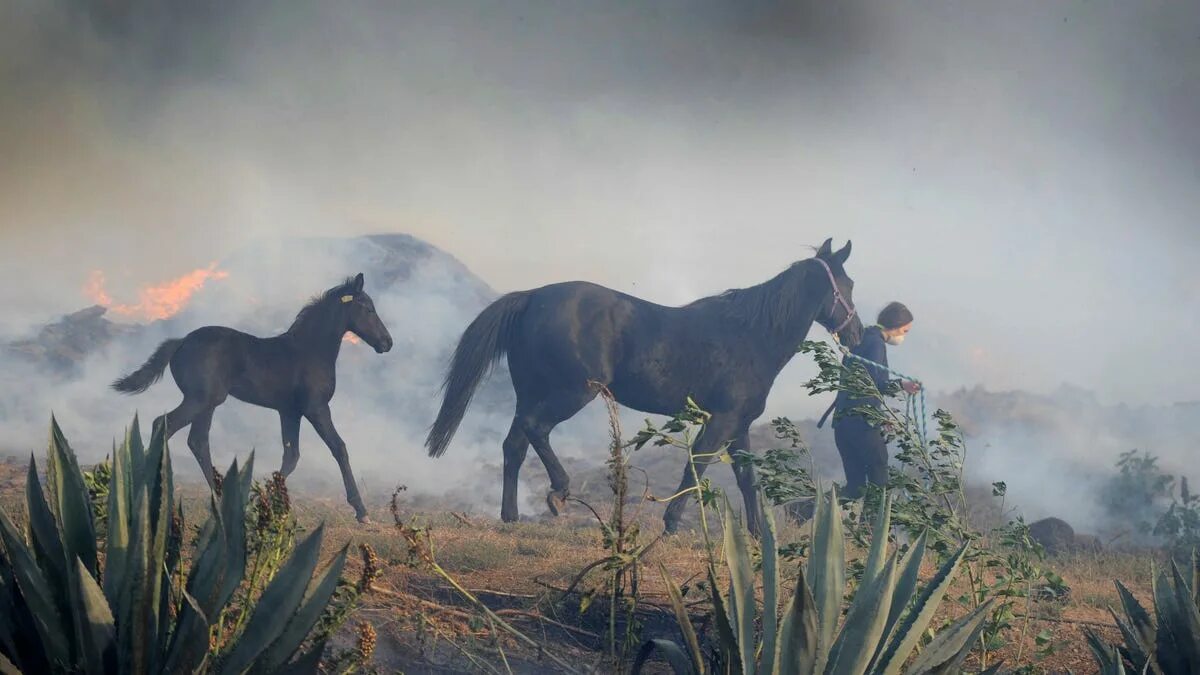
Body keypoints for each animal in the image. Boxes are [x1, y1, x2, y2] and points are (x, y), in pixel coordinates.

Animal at [111, 271, 391, 521]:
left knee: (197, 440)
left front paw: (262, 502)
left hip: (209, 403)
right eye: (369, 309)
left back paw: (220, 496)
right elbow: (339, 448)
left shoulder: (290, 412)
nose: (387, 343)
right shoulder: (316, 408)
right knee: (164, 424)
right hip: (200, 400)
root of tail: (181, 341)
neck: (310, 350)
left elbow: (291, 456)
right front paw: (361, 511)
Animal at [427, 236, 859, 530]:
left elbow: (746, 479)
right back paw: (559, 492)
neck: (752, 336)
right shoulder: (721, 420)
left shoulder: (739, 426)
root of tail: (532, 297)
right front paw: (671, 523)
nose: (855, 334)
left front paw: (755, 535)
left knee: (514, 446)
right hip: (571, 393)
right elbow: (695, 468)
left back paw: (511, 516)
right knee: (536, 432)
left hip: (532, 394)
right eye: (849, 285)